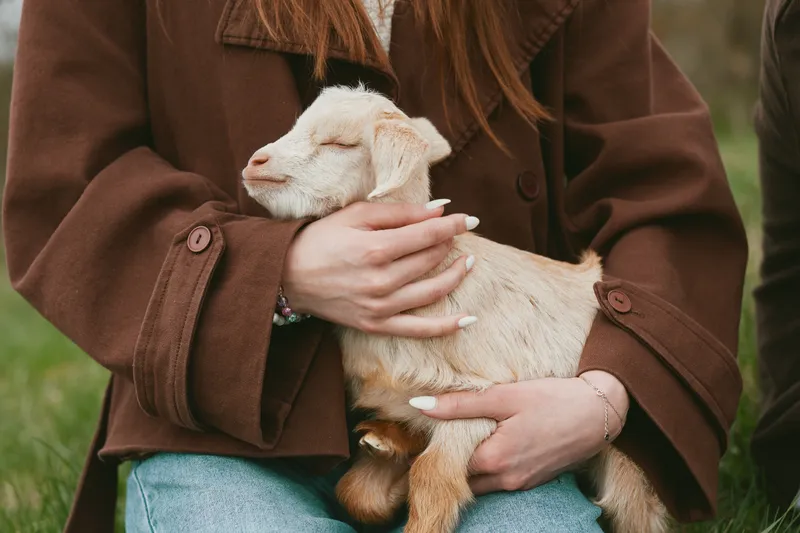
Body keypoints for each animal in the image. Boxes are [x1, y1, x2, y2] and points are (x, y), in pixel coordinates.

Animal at [242, 85, 668, 533]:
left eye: (339, 144)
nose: (255, 163)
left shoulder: (482, 403)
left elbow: (433, 478)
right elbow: (357, 494)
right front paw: (389, 453)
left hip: (627, 474)